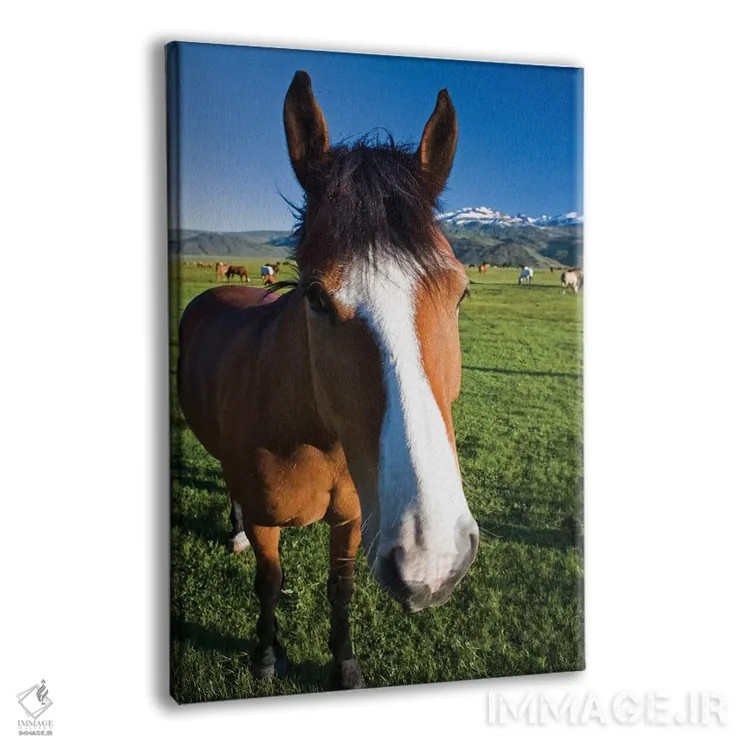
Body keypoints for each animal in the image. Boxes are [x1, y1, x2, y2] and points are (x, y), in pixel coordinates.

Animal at [178, 71, 479, 690]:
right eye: (316, 296)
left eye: (460, 292)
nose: (433, 554)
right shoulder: (268, 521)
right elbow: (269, 583)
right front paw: (267, 655)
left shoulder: (354, 518)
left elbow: (340, 589)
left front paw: (344, 664)